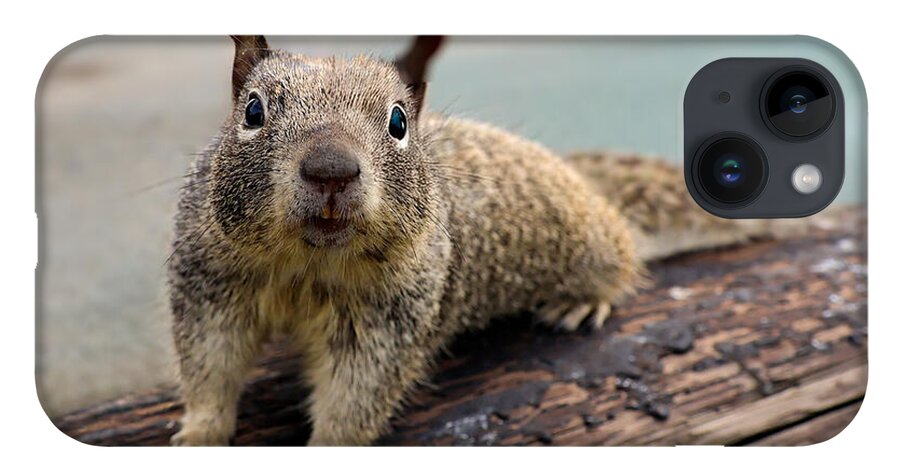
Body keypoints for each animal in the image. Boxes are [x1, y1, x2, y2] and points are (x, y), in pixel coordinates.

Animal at [168, 35, 771, 446]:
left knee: (621, 258)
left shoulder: (390, 318)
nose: (331, 170)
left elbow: (355, 397)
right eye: (252, 110)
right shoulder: (211, 283)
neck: (309, 264)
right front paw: (199, 434)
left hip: (592, 242)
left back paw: (583, 300)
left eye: (398, 122)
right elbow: (210, 366)